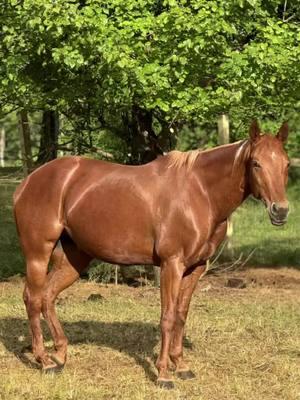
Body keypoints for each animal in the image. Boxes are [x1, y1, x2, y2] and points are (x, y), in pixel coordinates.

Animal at [12, 121, 290, 388]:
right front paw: (164, 375)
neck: (200, 193)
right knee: (33, 299)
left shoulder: (196, 268)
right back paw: (45, 361)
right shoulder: (171, 265)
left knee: (48, 296)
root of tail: (27, 183)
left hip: (74, 259)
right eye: (256, 163)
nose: (281, 211)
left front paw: (182, 366)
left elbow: (181, 316)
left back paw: (60, 355)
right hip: (38, 253)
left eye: (286, 164)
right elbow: (167, 317)